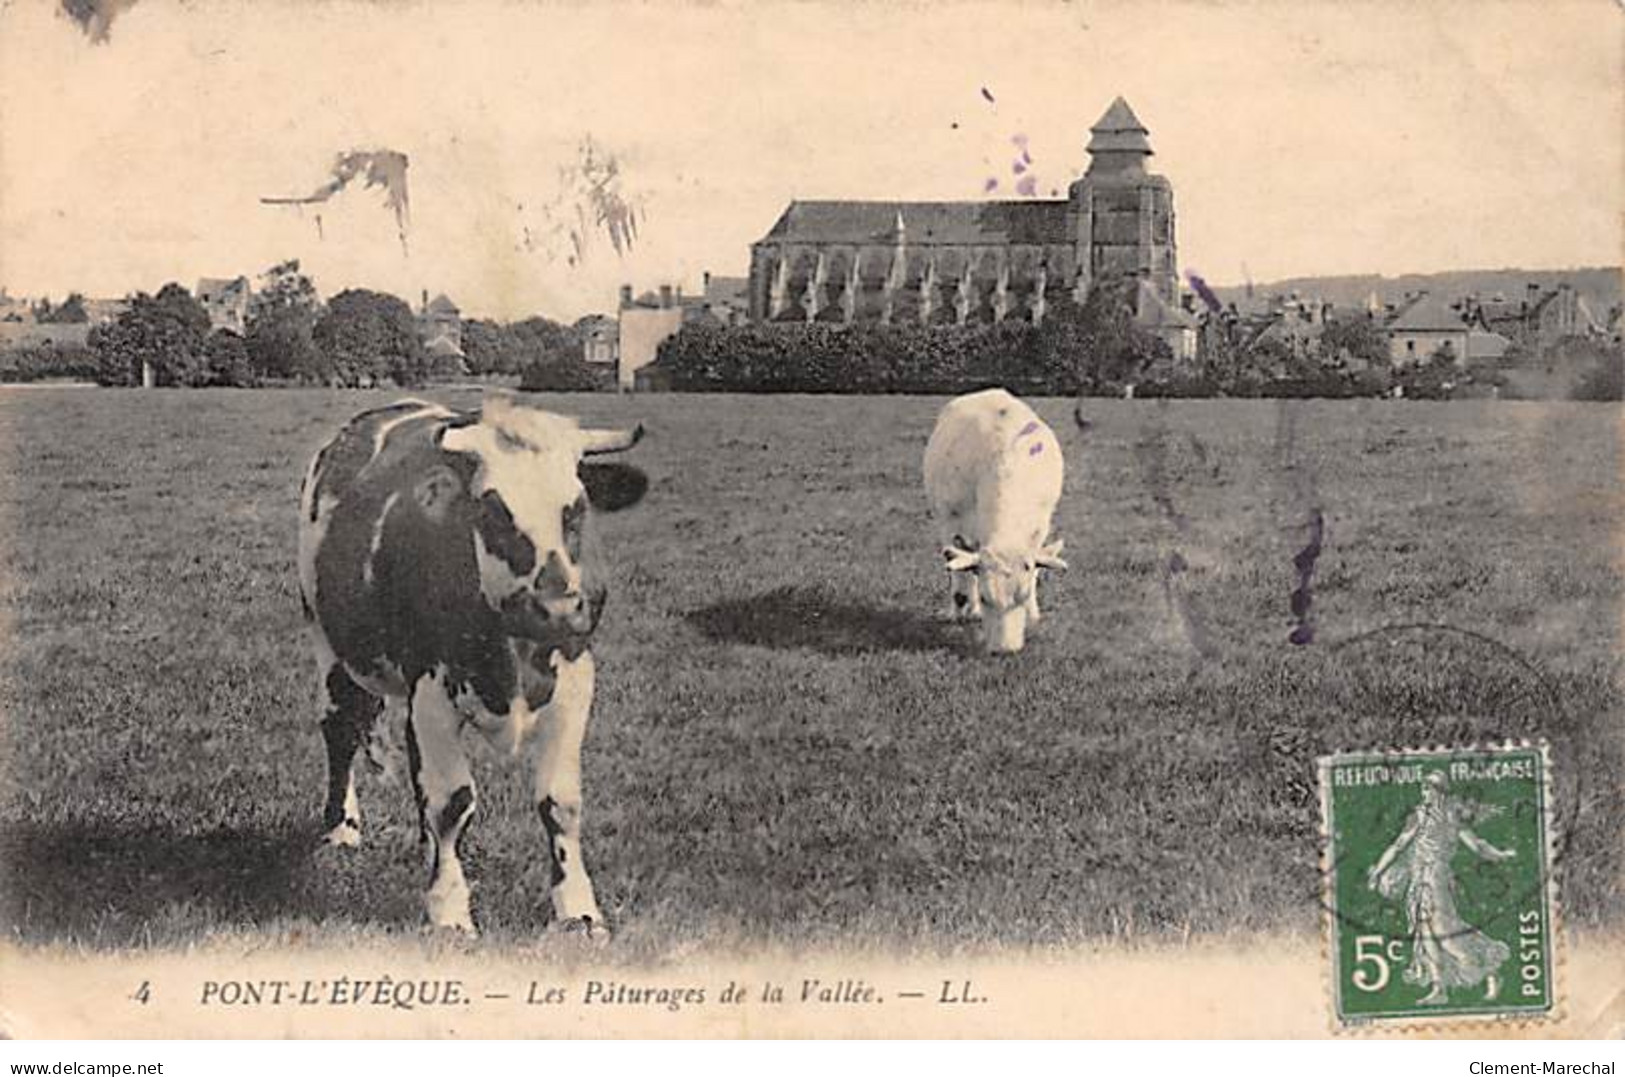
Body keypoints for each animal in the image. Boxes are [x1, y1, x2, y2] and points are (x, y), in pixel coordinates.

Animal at [299, 394, 646, 935]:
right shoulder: (432, 687)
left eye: (576, 508)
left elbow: (560, 802)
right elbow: (452, 801)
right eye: (493, 509)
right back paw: (342, 829)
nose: (556, 608)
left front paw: (579, 910)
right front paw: (449, 910)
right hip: (328, 643)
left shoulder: (575, 683)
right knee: (340, 729)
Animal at [929, 389, 1066, 656]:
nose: (1006, 650)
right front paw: (959, 613)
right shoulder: (951, 521)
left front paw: (1032, 615)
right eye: (985, 598)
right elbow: (960, 580)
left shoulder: (1039, 528)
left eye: (1022, 597)